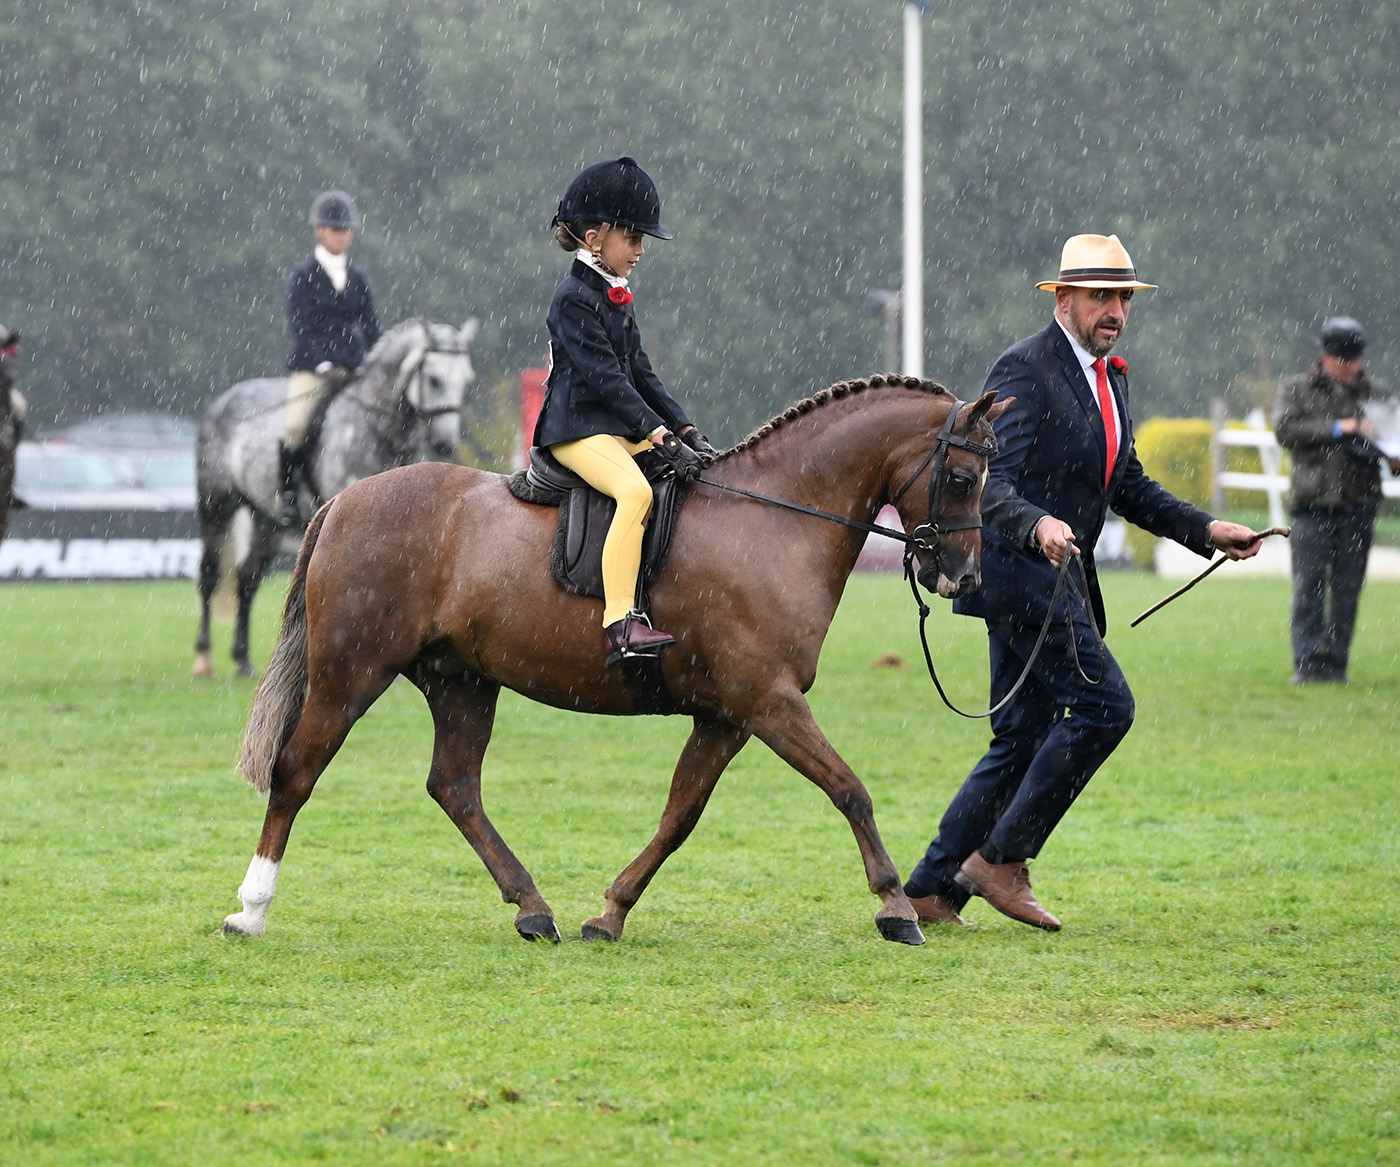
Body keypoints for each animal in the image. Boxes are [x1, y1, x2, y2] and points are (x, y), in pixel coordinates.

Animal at [193, 317, 478, 679]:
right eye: (434, 379)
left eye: (466, 380)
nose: (445, 444)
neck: (380, 429)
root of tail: (225, 400)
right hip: (216, 506)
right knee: (209, 574)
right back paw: (204, 658)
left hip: (266, 520)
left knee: (247, 579)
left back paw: (242, 660)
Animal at [222, 374, 1008, 947]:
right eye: (963, 478)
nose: (966, 577)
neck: (775, 518)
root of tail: (345, 500)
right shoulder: (767, 700)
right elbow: (849, 789)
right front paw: (896, 907)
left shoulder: (726, 717)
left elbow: (679, 815)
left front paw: (610, 913)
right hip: (351, 673)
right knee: (297, 773)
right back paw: (251, 910)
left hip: (462, 683)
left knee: (455, 786)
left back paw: (533, 908)